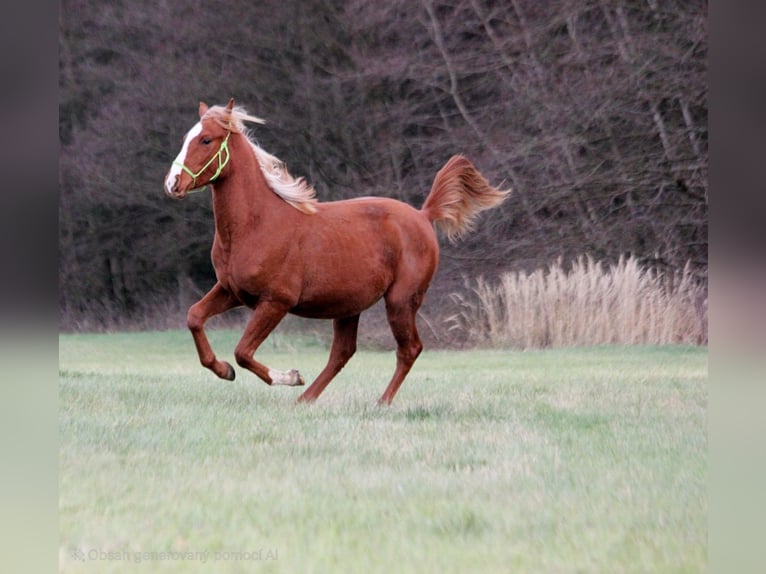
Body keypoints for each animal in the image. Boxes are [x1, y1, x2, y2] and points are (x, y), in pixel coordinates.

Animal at [164, 99, 510, 404]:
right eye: (185, 138)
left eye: (206, 139)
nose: (172, 184)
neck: (256, 225)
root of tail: (423, 215)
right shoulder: (231, 290)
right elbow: (194, 317)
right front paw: (224, 370)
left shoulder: (276, 301)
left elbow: (243, 352)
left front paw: (290, 376)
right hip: (348, 306)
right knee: (343, 353)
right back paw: (305, 400)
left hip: (401, 301)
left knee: (408, 349)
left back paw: (379, 402)